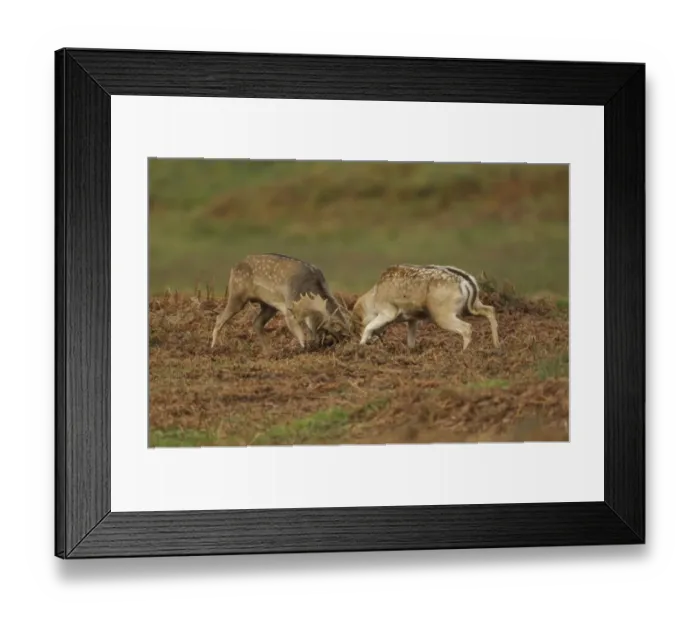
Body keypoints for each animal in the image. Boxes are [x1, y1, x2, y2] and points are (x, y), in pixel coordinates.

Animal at [210, 253, 354, 350]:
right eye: (330, 329)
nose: (345, 342)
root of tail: (233, 268)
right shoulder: (289, 307)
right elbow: (299, 334)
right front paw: (304, 348)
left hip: (268, 305)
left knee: (257, 323)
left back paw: (269, 351)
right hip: (236, 295)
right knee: (219, 318)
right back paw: (213, 346)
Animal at [351, 264, 500, 352]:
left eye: (358, 323)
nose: (372, 342)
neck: (374, 297)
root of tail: (466, 281)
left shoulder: (388, 312)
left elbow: (369, 326)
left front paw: (361, 344)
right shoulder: (413, 319)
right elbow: (410, 339)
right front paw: (411, 352)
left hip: (443, 315)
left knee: (466, 328)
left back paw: (463, 353)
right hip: (472, 306)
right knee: (490, 310)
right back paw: (496, 345)